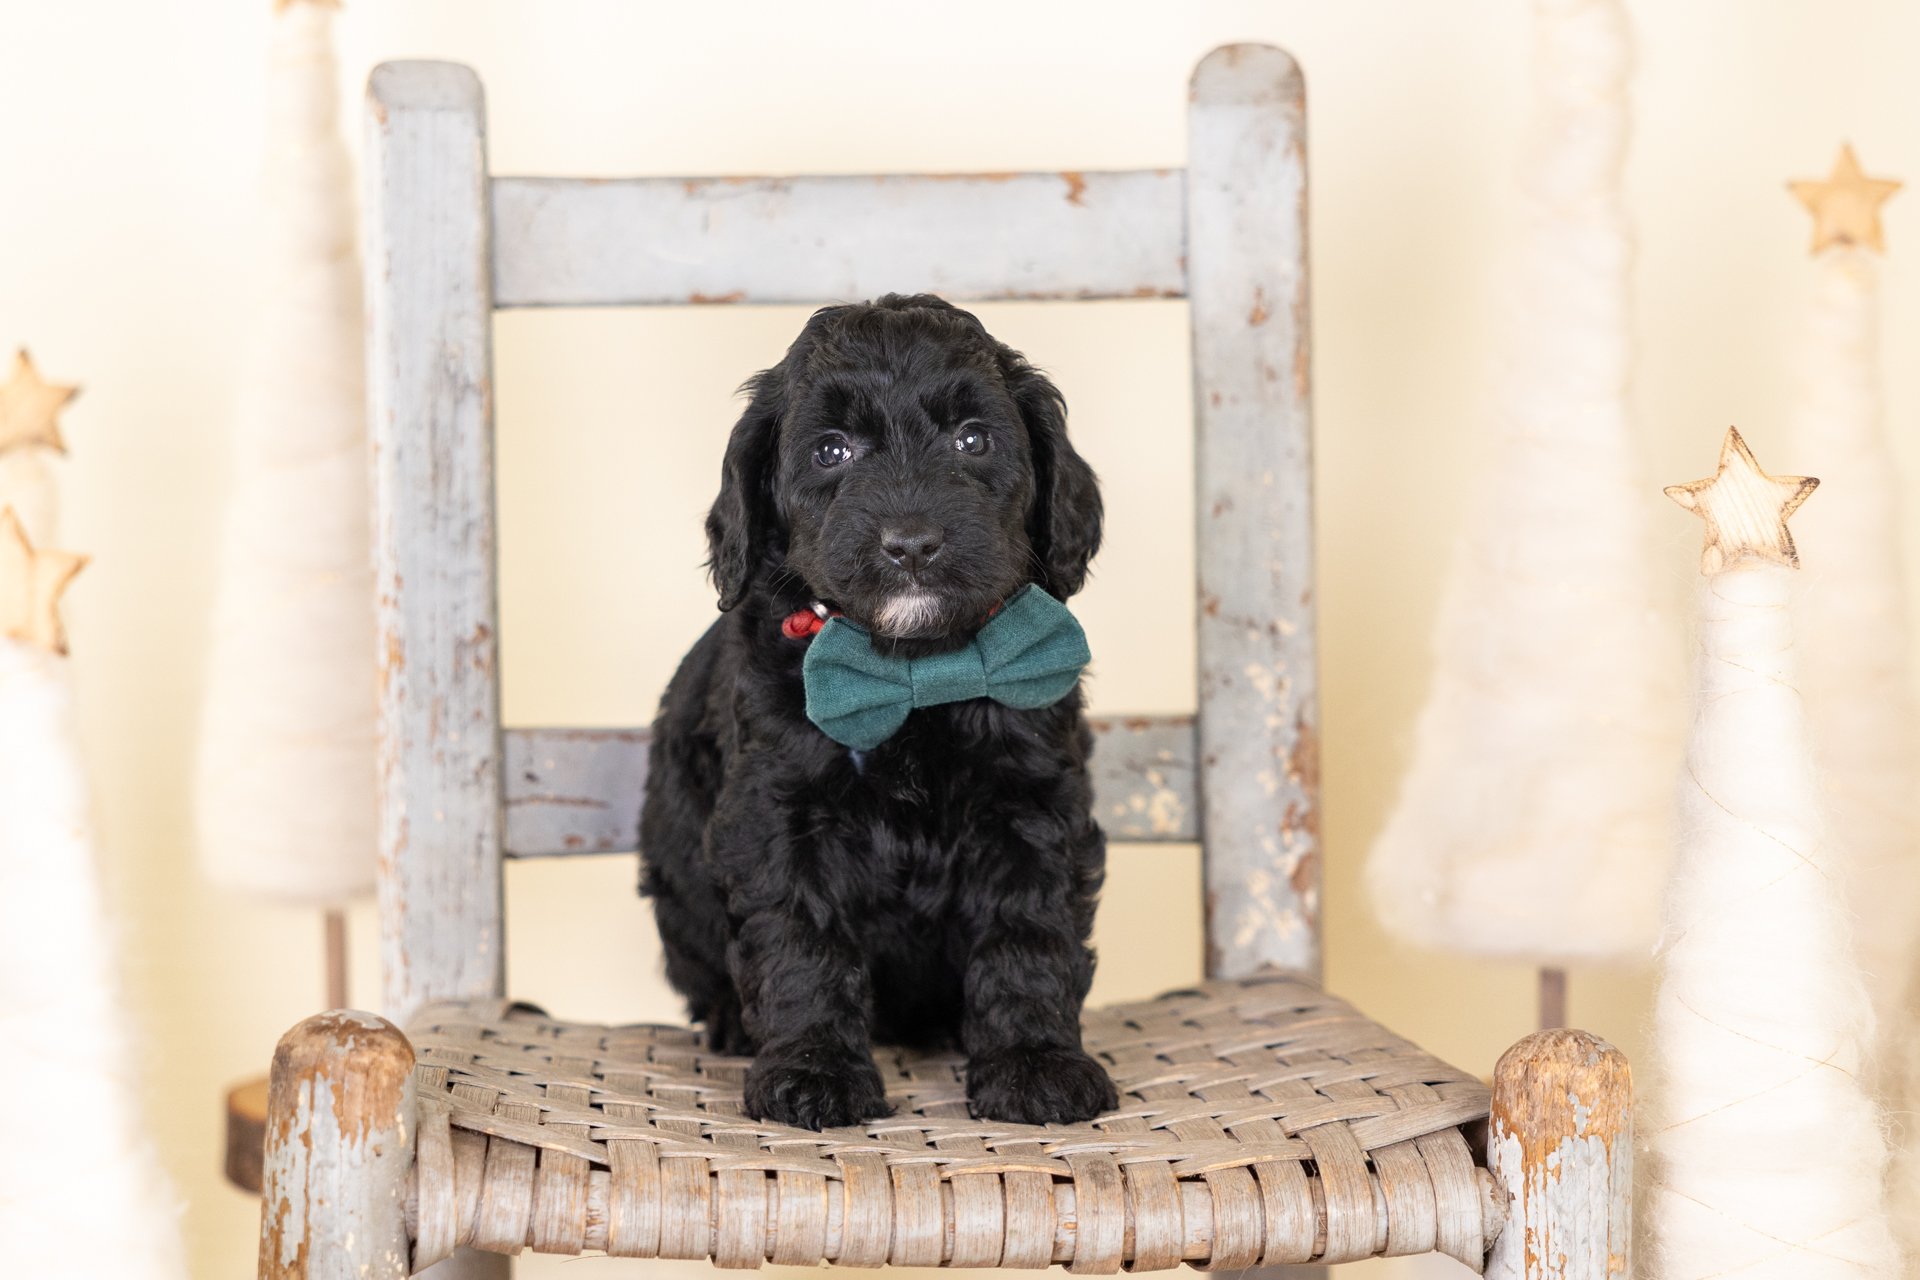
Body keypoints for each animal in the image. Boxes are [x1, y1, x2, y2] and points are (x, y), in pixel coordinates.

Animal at [638, 294, 1116, 1130]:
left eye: (973, 438)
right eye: (832, 451)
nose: (913, 545)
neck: (919, 667)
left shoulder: (1033, 806)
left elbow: (1028, 929)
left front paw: (1035, 1063)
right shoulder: (777, 814)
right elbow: (802, 940)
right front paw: (812, 1071)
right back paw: (732, 1024)